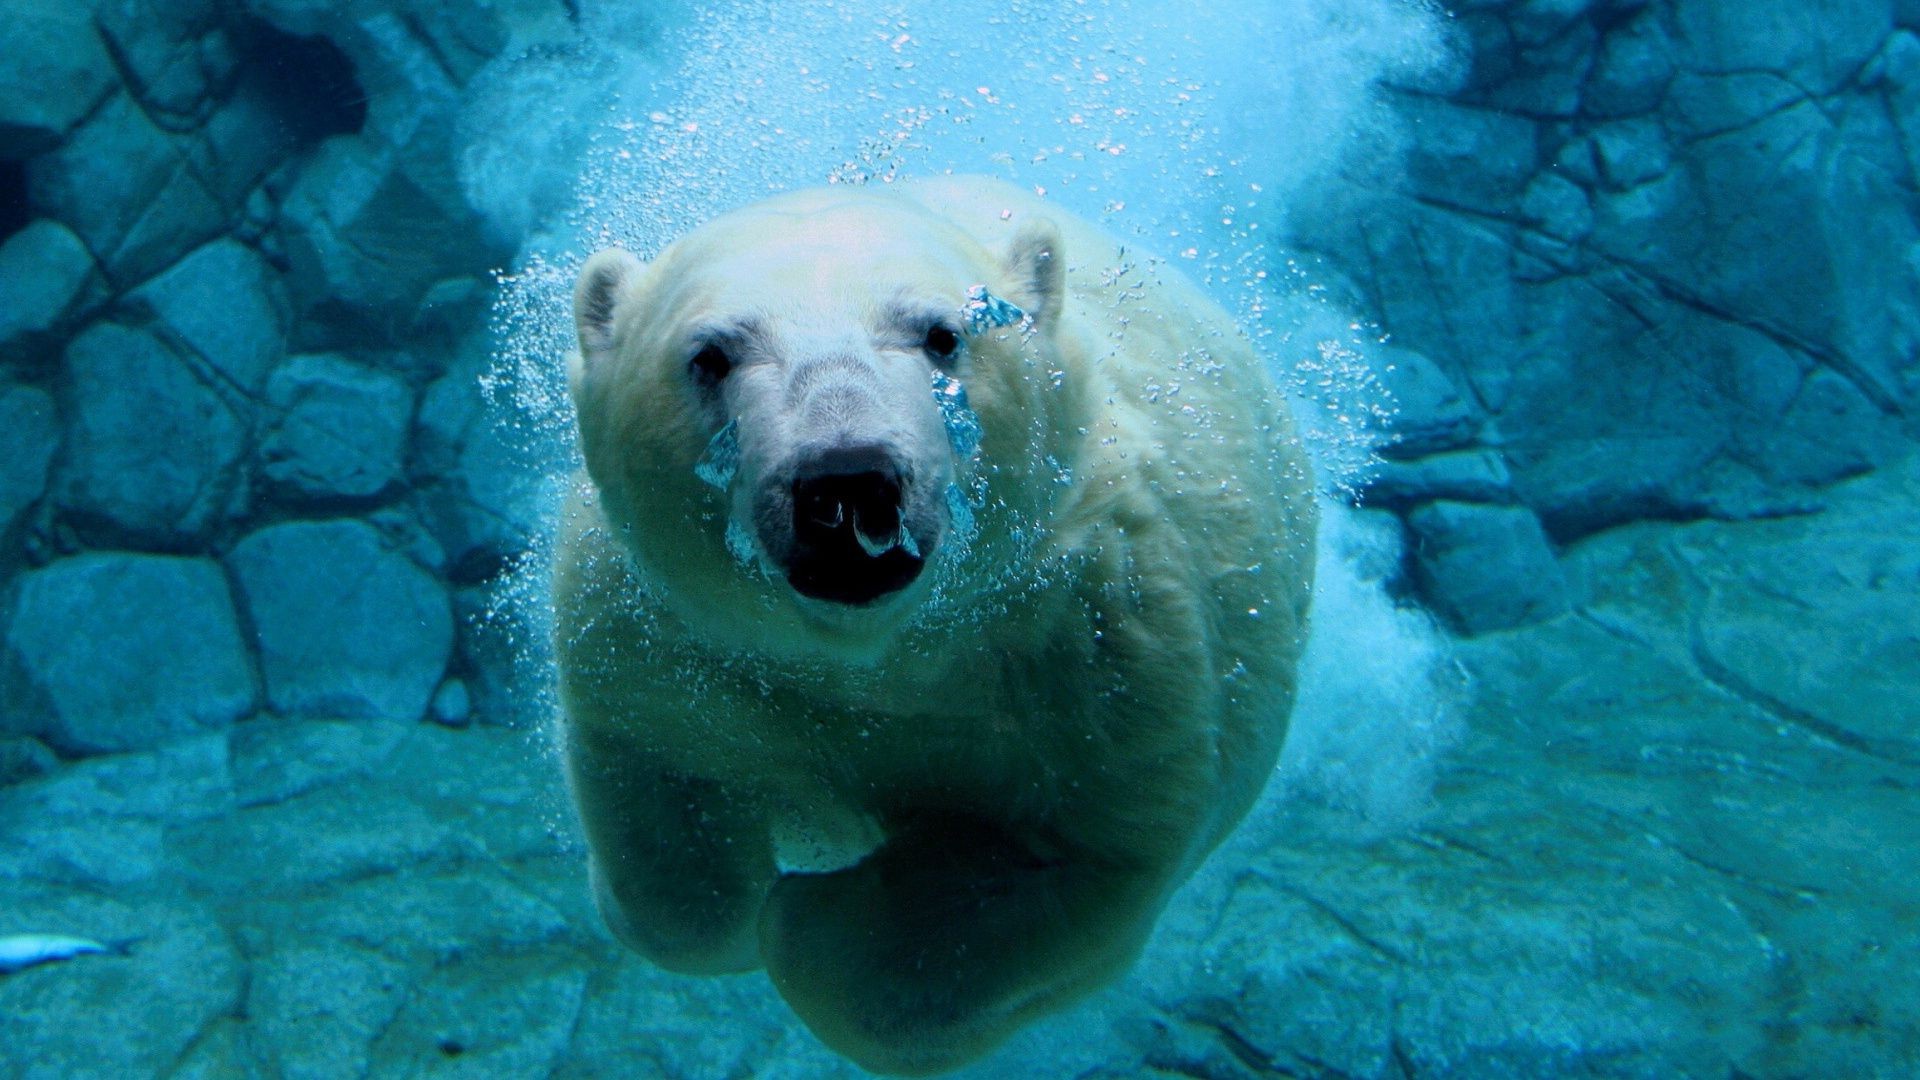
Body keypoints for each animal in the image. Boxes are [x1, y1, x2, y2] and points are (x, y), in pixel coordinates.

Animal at [549, 174, 1313, 1068]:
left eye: (944, 335)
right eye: (709, 355)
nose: (845, 481)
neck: (885, 655)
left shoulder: (1101, 646)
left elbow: (1070, 860)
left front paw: (813, 914)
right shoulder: (665, 638)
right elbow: (664, 813)